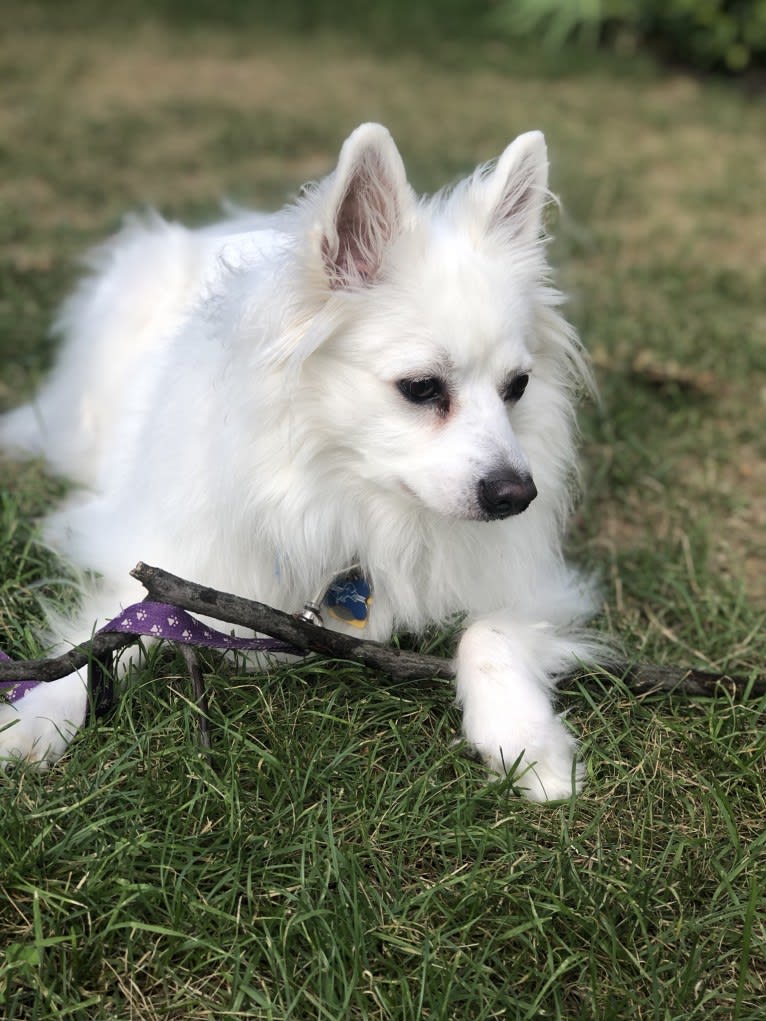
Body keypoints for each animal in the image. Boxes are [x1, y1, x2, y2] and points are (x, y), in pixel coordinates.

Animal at [0, 123, 604, 800]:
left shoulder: (533, 587)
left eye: (517, 387)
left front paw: (528, 742)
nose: (517, 495)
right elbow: (108, 632)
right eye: (422, 388)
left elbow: (490, 632)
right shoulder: (160, 561)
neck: (348, 495)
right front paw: (35, 716)